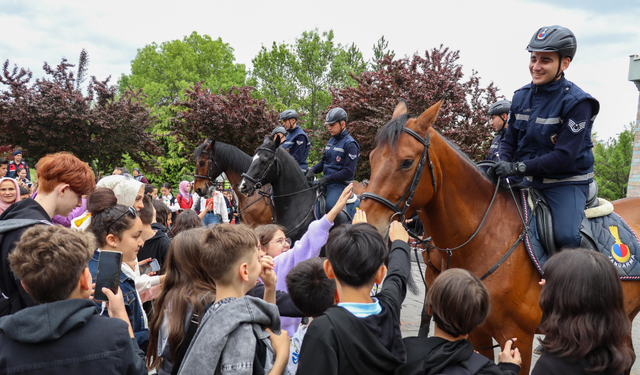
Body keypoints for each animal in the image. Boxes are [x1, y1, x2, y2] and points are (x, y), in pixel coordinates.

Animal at [358, 101, 640, 374]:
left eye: (406, 162)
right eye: (371, 157)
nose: (366, 224)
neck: (485, 236)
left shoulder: (518, 338)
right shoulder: (478, 332)